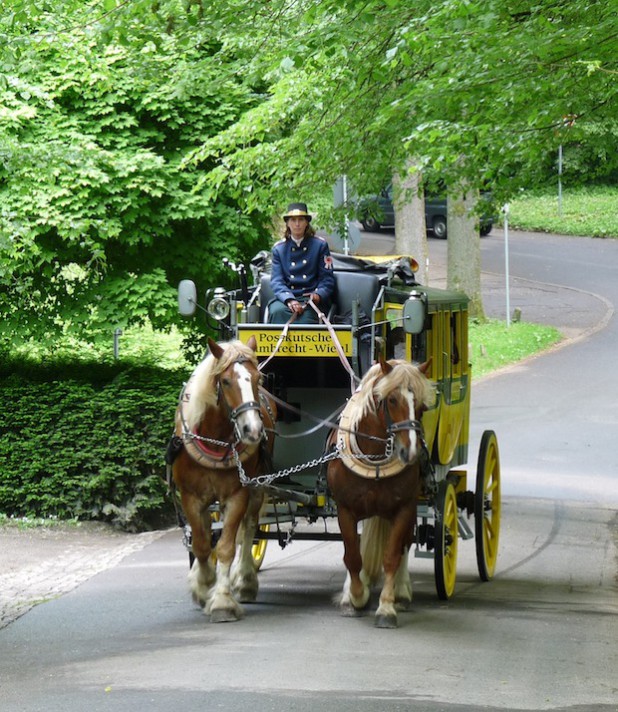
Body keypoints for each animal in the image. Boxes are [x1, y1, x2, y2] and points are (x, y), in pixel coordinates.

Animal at [170, 336, 274, 620]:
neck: (214, 440)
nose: (253, 430)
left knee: (249, 529)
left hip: (257, 488)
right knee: (207, 532)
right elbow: (202, 544)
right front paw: (203, 583)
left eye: (257, 378)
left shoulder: (237, 495)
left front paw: (223, 601)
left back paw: (245, 580)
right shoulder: (191, 497)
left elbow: (227, 546)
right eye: (226, 381)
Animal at [324, 358, 430, 624]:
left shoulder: (404, 508)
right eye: (391, 400)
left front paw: (386, 607)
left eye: (422, 406)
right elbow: (352, 556)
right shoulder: (345, 509)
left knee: (405, 545)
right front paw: (355, 597)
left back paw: (401, 593)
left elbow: (392, 556)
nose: (410, 453)